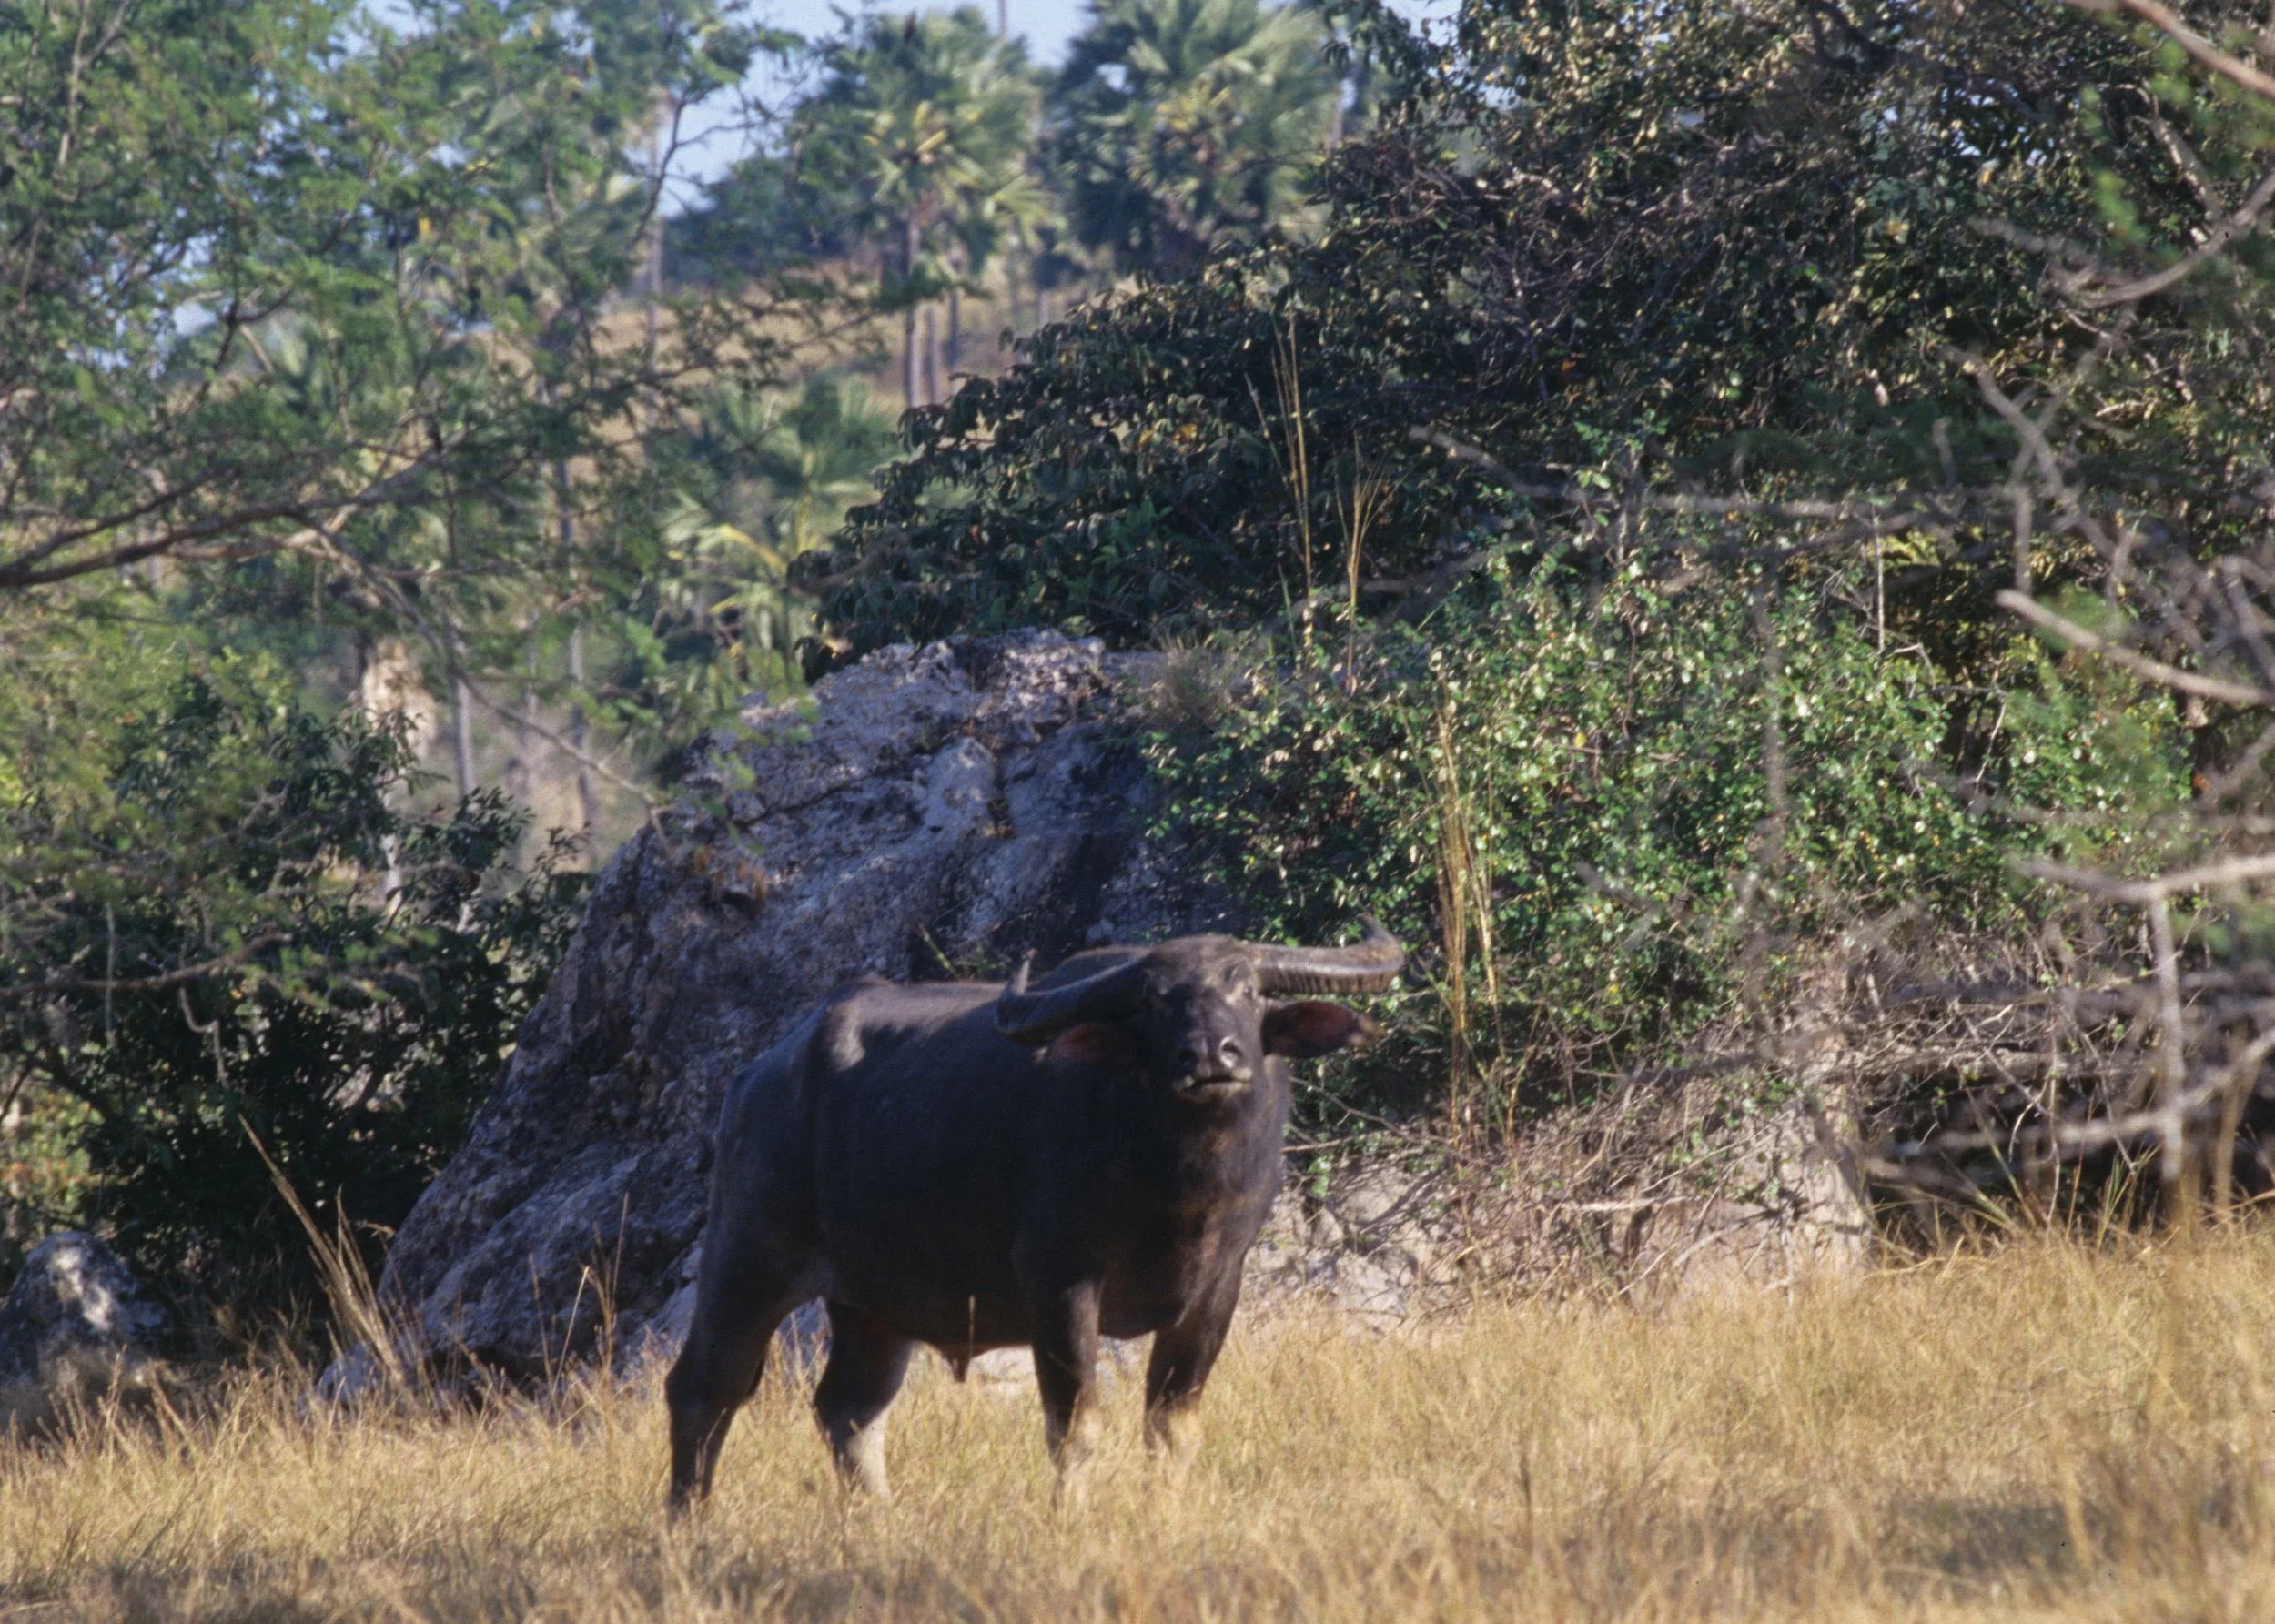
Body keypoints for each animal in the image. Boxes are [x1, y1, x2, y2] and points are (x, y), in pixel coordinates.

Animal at [664, 921, 1404, 1508]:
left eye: (1247, 989)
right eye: (1151, 1002)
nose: (1209, 1055)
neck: (1177, 1189)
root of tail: (760, 1075)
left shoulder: (1218, 1285)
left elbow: (1171, 1426)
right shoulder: (1059, 1281)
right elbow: (1076, 1426)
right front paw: (1069, 1515)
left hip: (873, 1305)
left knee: (849, 1408)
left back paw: (877, 1516)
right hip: (747, 1258)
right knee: (704, 1390)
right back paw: (688, 1523)